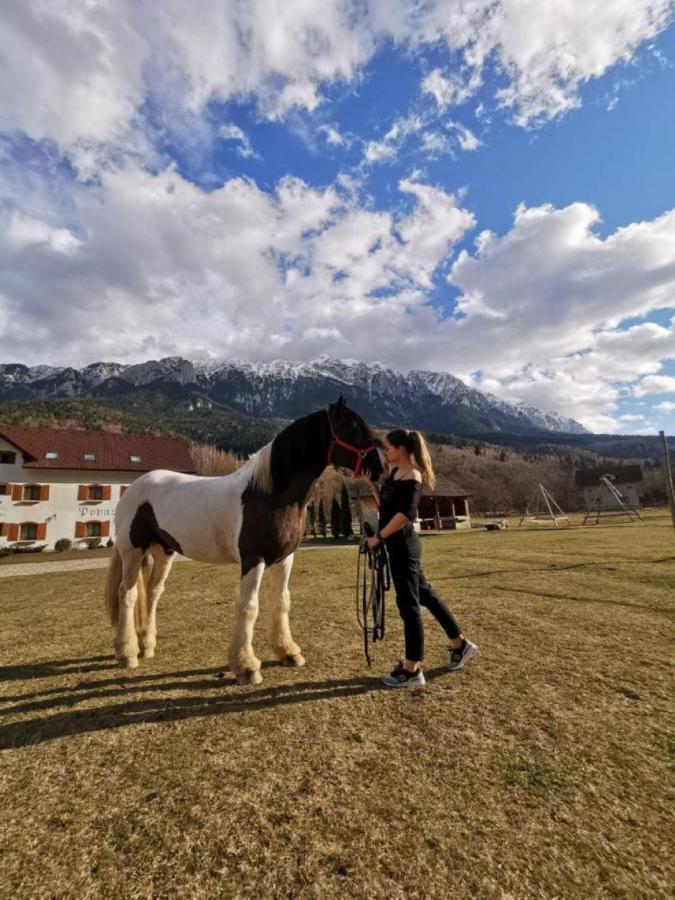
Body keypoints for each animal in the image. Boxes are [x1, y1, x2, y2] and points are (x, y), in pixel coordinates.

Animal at [103, 398, 382, 684]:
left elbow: (281, 600)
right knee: (128, 594)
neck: (270, 495)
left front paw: (288, 652)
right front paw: (246, 666)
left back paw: (147, 646)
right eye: (351, 427)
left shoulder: (286, 558)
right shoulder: (253, 558)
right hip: (132, 551)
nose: (379, 468)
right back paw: (127, 653)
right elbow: (248, 606)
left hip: (164, 551)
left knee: (153, 592)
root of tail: (133, 489)